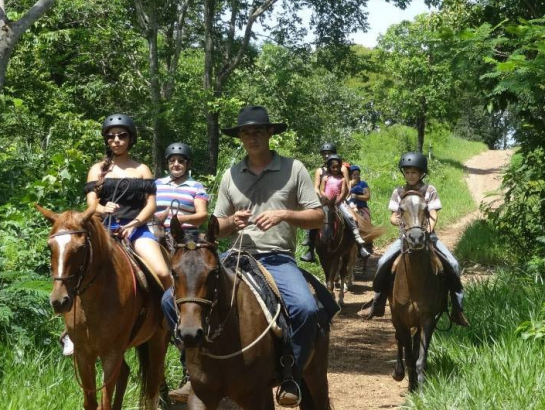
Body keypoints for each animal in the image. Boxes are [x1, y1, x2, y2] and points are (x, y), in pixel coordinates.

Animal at [37, 205, 169, 410]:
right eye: (50, 246)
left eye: (81, 248)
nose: (59, 301)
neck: (94, 302)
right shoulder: (83, 354)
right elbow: (91, 402)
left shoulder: (111, 354)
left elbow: (105, 402)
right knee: (125, 374)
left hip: (158, 340)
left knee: (153, 388)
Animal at [170, 216, 332, 408]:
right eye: (173, 272)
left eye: (213, 272)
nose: (190, 333)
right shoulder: (201, 396)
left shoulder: (258, 396)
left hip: (316, 375)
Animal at [388, 191, 448, 390]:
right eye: (401, 209)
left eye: (426, 208)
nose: (416, 238)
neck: (414, 284)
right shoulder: (402, 319)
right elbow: (408, 356)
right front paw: (410, 383)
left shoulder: (427, 319)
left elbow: (420, 358)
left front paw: (420, 388)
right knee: (398, 339)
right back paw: (399, 373)